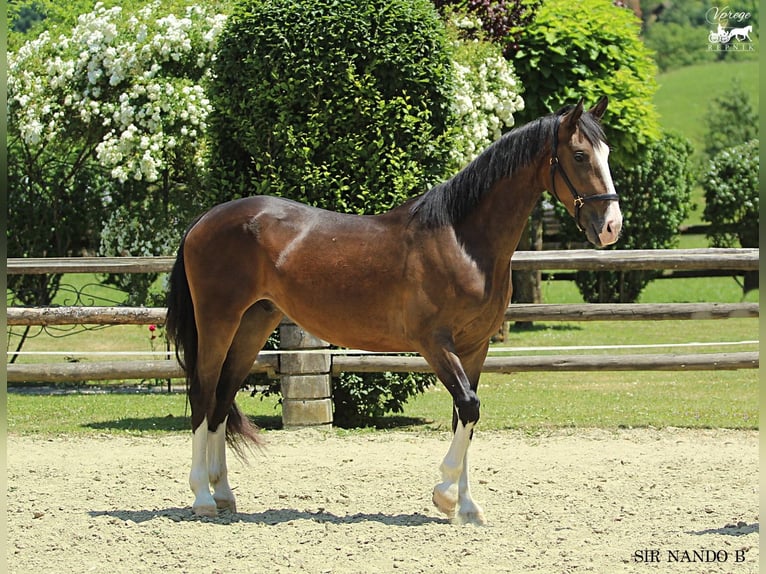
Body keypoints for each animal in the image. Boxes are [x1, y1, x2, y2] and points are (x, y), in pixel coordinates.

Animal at [165, 97, 622, 525]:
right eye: (579, 155)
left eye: (607, 153)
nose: (611, 227)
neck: (462, 241)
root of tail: (203, 221)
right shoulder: (435, 343)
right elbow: (469, 406)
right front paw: (444, 495)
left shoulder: (475, 348)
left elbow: (464, 416)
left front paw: (466, 507)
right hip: (218, 321)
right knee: (203, 391)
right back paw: (202, 497)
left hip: (254, 322)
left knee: (223, 396)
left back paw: (224, 495)